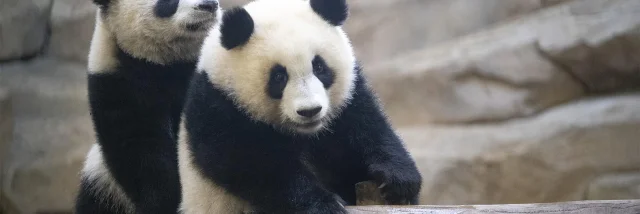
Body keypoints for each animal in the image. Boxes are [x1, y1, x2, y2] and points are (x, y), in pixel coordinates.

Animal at [178, 0, 422, 212]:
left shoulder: (348, 100)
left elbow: (369, 126)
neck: (305, 134)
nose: (310, 111)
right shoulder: (218, 106)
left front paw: (398, 180)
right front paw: (324, 204)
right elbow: (253, 164)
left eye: (320, 67)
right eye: (278, 77)